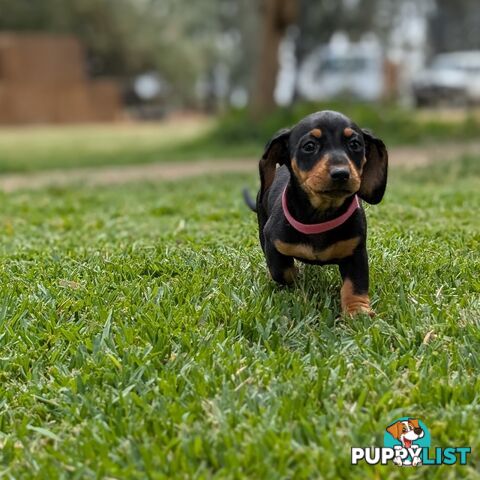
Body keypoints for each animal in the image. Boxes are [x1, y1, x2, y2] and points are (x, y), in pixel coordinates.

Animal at [246, 110, 388, 316]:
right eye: (309, 146)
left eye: (355, 144)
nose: (341, 174)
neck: (321, 216)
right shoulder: (273, 242)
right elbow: (282, 271)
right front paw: (295, 281)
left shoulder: (356, 251)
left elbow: (355, 284)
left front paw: (357, 311)